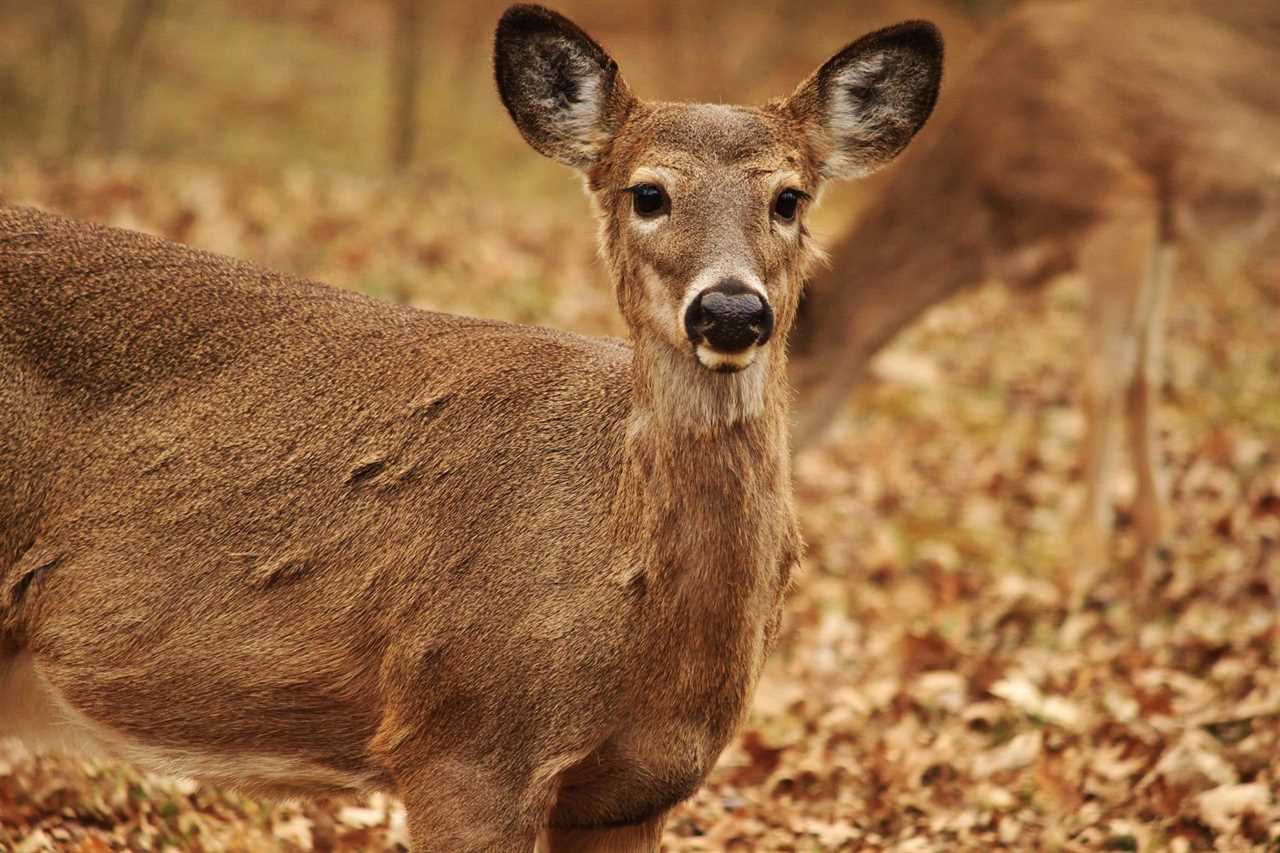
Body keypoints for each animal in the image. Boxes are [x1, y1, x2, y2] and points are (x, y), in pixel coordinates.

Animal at [788, 0, 1280, 584]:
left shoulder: (1117, 200)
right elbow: (1145, 375)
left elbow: (1100, 380)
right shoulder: (1163, 220)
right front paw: (1154, 548)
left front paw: (1084, 565)